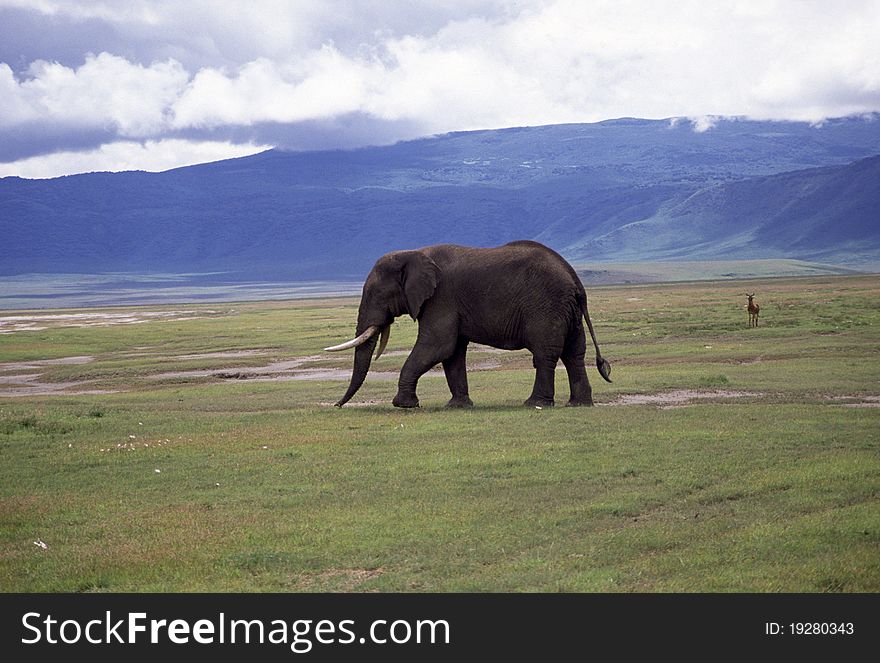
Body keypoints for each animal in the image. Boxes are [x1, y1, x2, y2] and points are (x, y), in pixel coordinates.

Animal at [324, 241, 612, 408]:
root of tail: (575, 279)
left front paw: (403, 404)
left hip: (547, 306)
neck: (413, 254)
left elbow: (437, 346)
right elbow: (452, 353)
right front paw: (458, 406)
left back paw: (534, 404)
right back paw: (579, 404)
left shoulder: (441, 298)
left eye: (376, 293)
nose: (337, 406)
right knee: (574, 354)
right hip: (568, 311)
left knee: (545, 355)